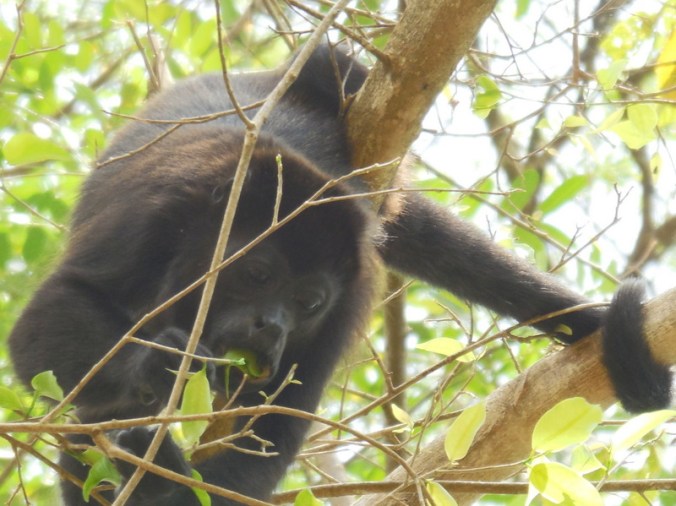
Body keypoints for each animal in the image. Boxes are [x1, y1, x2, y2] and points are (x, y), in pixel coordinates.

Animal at [9, 44, 672, 505]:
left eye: (308, 302)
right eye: (256, 274)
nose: (270, 327)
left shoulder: (347, 301)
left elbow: (270, 442)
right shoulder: (154, 218)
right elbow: (46, 322)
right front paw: (160, 363)